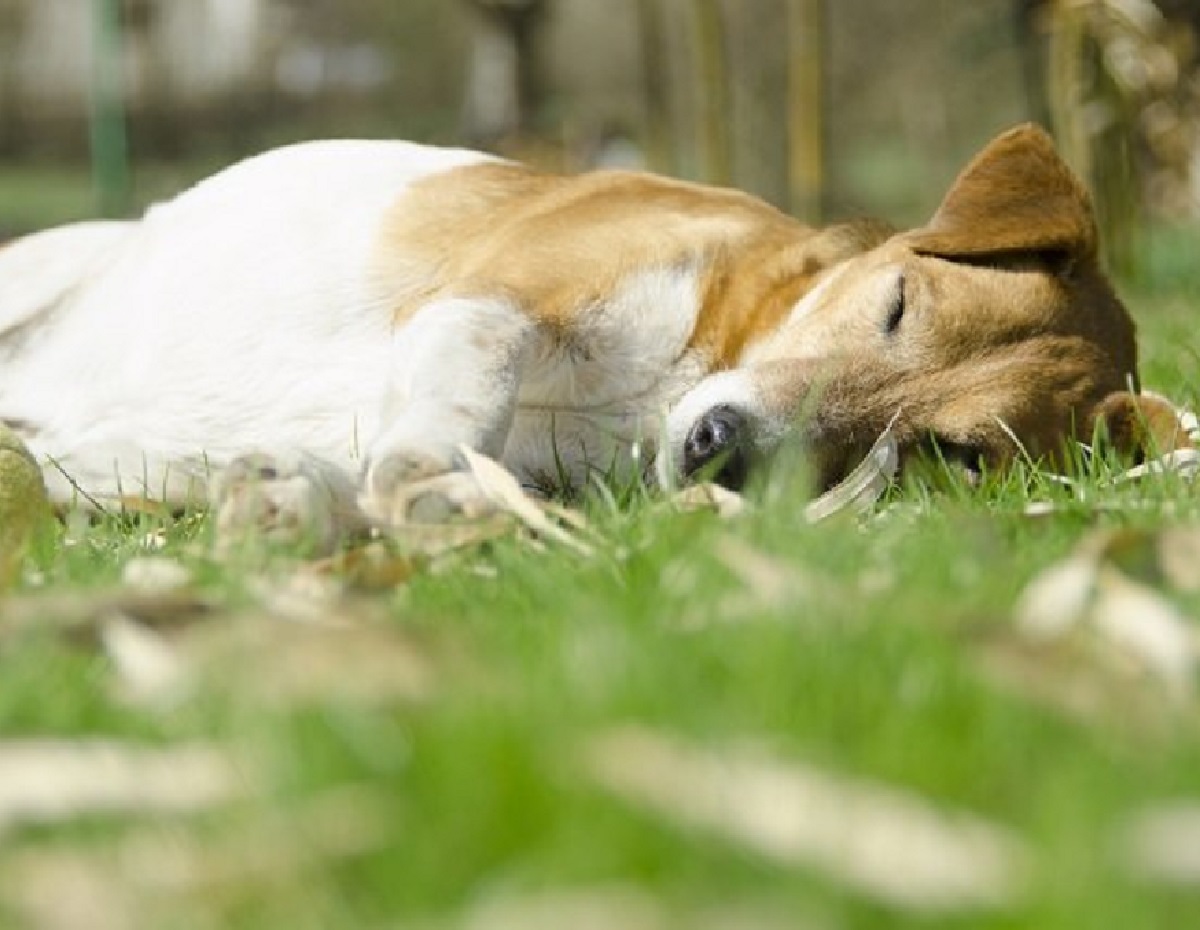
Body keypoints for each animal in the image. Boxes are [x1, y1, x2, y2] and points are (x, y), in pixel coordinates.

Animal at [0, 123, 1185, 544]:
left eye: (951, 455)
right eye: (896, 305)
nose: (720, 451)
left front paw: (309, 499)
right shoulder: (496, 295)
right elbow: (462, 397)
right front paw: (424, 473)